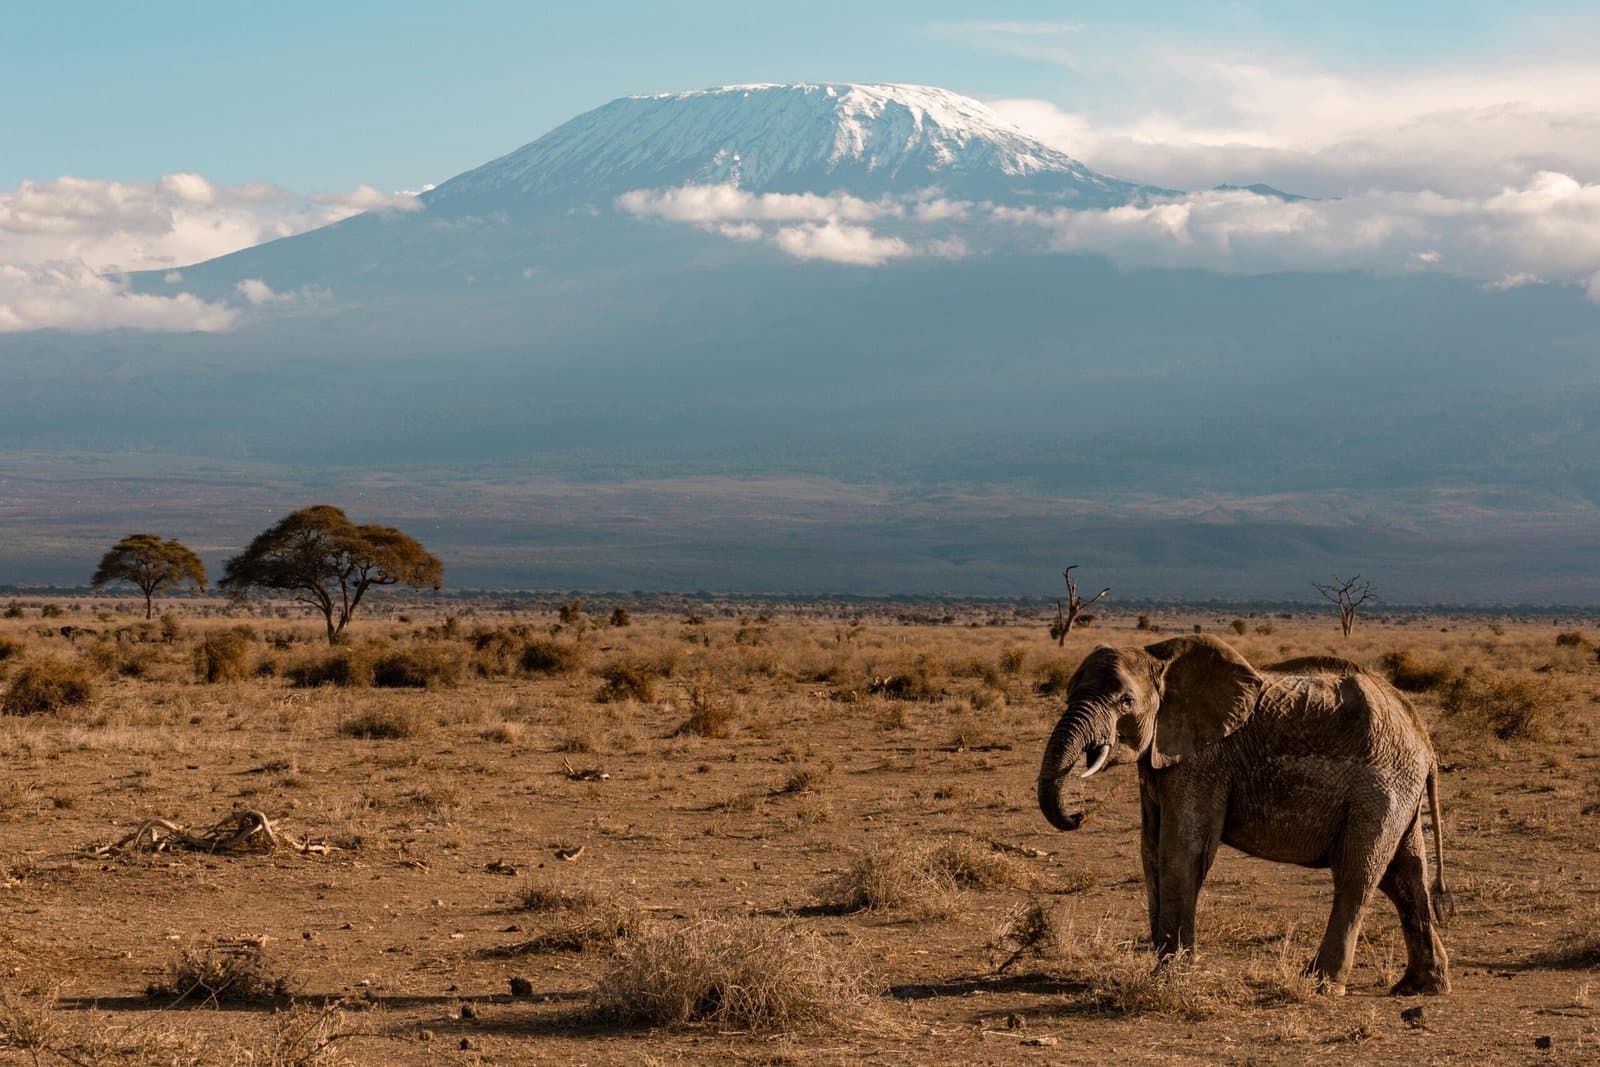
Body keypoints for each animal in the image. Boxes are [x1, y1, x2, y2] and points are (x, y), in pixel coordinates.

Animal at [1036, 634, 1451, 996]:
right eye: (1069, 693)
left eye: (1125, 701)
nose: (1078, 815)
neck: (1160, 660)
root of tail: (1424, 741)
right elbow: (1150, 850)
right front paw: (1164, 967)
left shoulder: (1205, 759)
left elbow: (1182, 850)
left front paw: (1169, 977)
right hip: (1398, 788)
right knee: (1405, 875)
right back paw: (1420, 987)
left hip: (1380, 785)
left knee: (1357, 873)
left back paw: (1321, 985)